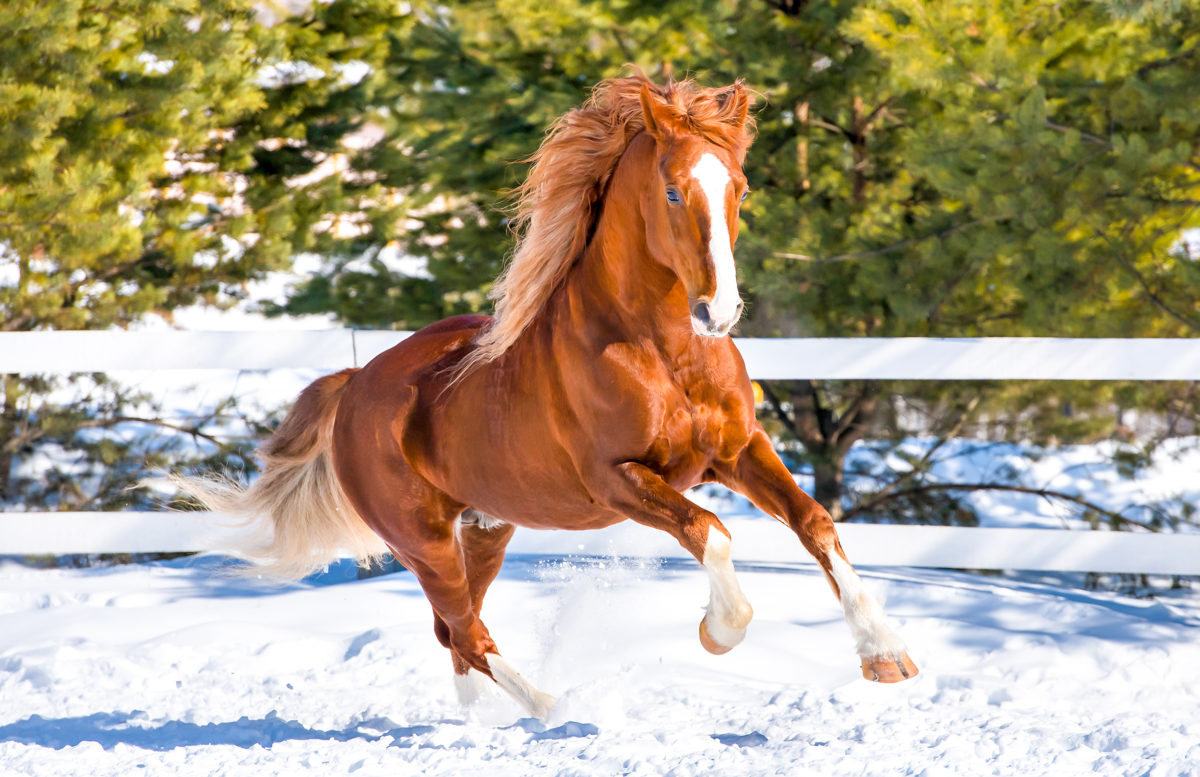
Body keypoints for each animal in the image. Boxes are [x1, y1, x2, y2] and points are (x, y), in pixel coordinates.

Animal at [187, 75, 916, 719]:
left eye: (738, 187)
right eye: (673, 191)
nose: (720, 311)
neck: (664, 354)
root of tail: (356, 385)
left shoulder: (737, 450)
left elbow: (815, 521)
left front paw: (885, 656)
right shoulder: (617, 480)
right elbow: (710, 532)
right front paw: (719, 632)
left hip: (485, 528)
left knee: (454, 633)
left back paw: (485, 726)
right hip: (422, 540)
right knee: (468, 633)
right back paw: (555, 709)